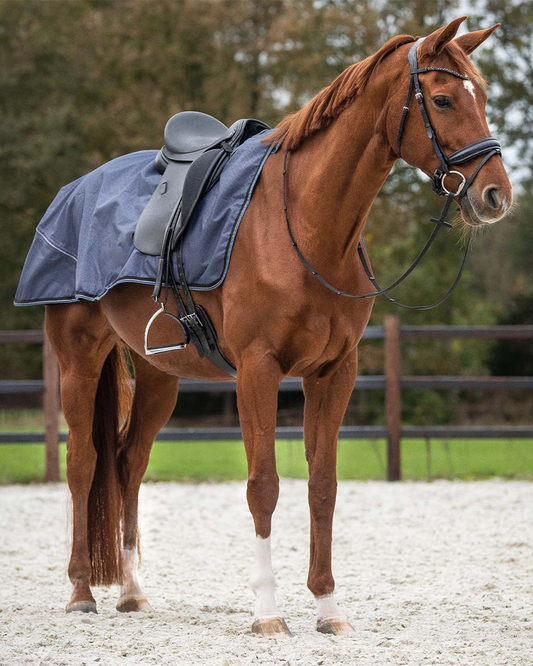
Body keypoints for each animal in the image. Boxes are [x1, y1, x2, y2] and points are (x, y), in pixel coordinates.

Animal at [43, 17, 511, 636]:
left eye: (482, 96)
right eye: (442, 99)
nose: (496, 195)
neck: (306, 224)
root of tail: (72, 192)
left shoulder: (334, 372)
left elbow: (323, 486)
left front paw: (328, 608)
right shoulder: (258, 370)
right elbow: (263, 485)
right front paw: (267, 612)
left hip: (158, 375)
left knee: (127, 462)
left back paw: (132, 591)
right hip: (78, 358)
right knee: (83, 462)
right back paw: (79, 592)